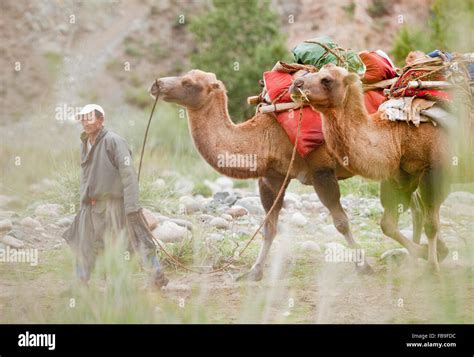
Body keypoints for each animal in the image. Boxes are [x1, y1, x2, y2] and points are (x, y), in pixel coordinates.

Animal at [148, 69, 374, 280]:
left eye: (188, 82)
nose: (157, 85)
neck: (266, 136)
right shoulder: (271, 178)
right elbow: (269, 228)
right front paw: (254, 271)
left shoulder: (322, 170)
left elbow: (341, 222)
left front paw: (363, 266)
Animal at [286, 62, 472, 272]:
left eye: (327, 80)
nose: (296, 85)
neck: (398, 133)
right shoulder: (401, 176)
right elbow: (387, 225)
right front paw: (423, 255)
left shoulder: (435, 171)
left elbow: (431, 224)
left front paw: (432, 267)